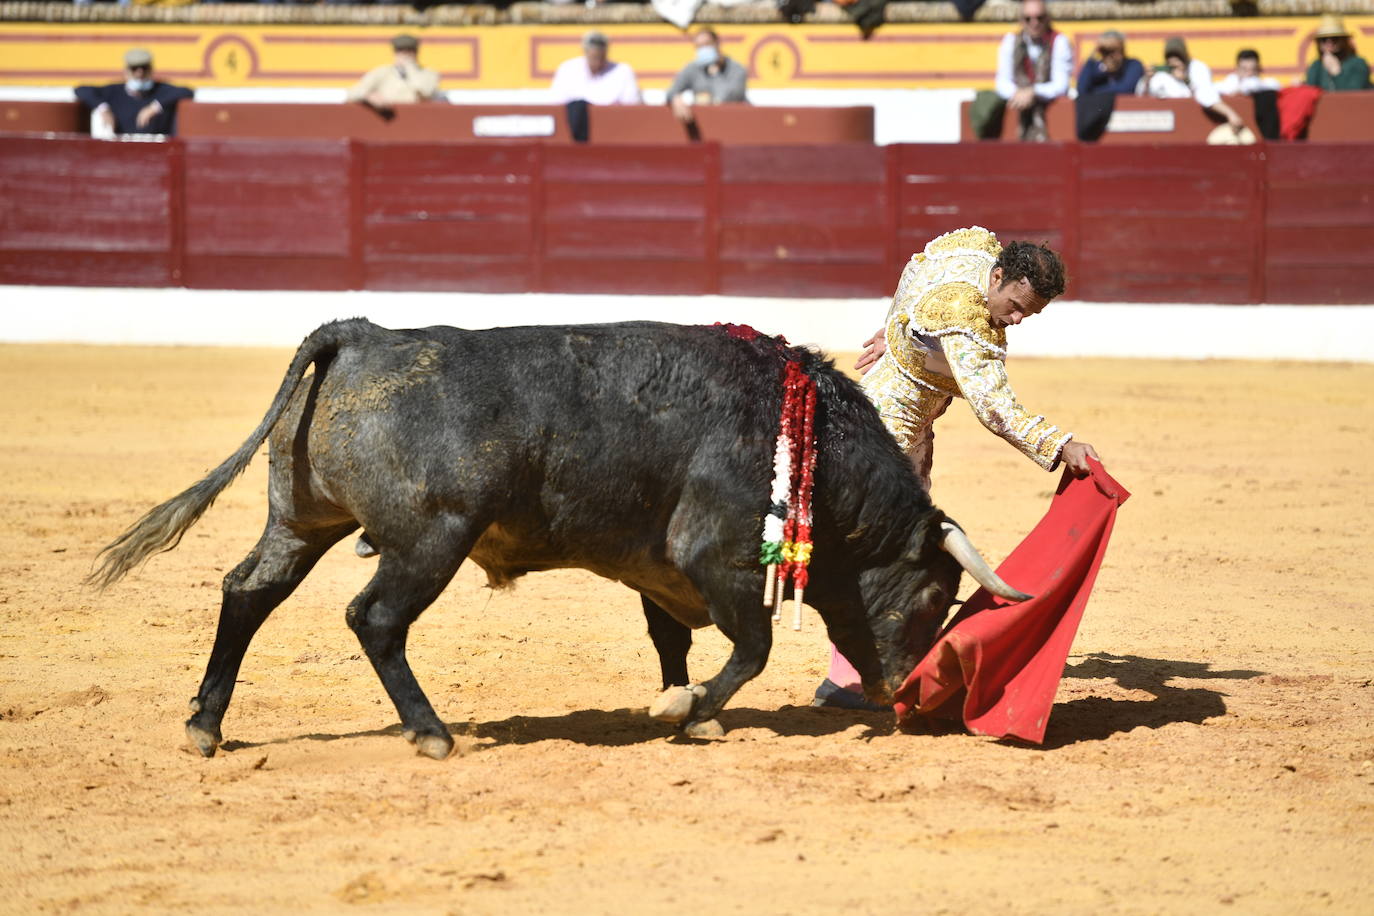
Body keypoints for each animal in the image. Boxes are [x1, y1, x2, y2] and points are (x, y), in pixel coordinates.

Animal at [91, 318, 1005, 763]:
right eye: (933, 595)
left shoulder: (660, 569)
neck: (806, 436)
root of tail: (362, 334)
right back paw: (431, 733)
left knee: (248, 593)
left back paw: (205, 726)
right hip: (432, 538)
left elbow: (673, 641)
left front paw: (684, 709)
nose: (898, 689)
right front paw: (689, 712)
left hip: (300, 521)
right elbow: (751, 646)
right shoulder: (717, 556)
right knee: (375, 620)